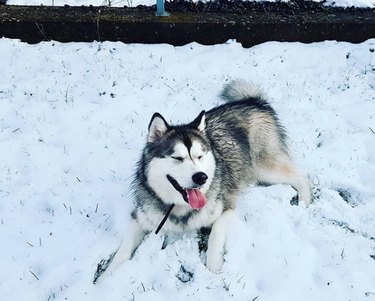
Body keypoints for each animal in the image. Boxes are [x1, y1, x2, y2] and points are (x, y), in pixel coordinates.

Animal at [94, 79, 312, 282]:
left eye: (200, 156)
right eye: (177, 158)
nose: (201, 177)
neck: (179, 207)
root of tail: (252, 101)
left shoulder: (226, 207)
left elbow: (215, 234)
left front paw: (213, 267)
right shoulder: (140, 217)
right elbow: (123, 250)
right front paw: (105, 279)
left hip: (263, 166)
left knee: (302, 176)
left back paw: (304, 201)